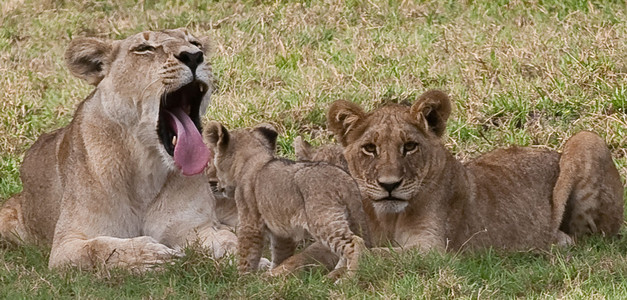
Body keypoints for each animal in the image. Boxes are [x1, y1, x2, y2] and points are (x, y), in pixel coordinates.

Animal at [0, 28, 238, 270]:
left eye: (195, 43)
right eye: (144, 49)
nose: (194, 56)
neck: (146, 167)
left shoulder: (196, 228)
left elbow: (230, 241)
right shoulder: (64, 247)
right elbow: (102, 249)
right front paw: (155, 256)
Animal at [204, 121, 370, 276]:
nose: (215, 184)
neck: (252, 158)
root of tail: (344, 179)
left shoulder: (250, 223)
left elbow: (247, 254)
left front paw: (244, 278)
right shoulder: (282, 232)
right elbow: (281, 254)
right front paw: (272, 273)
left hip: (323, 221)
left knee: (356, 242)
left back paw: (349, 277)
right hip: (352, 218)